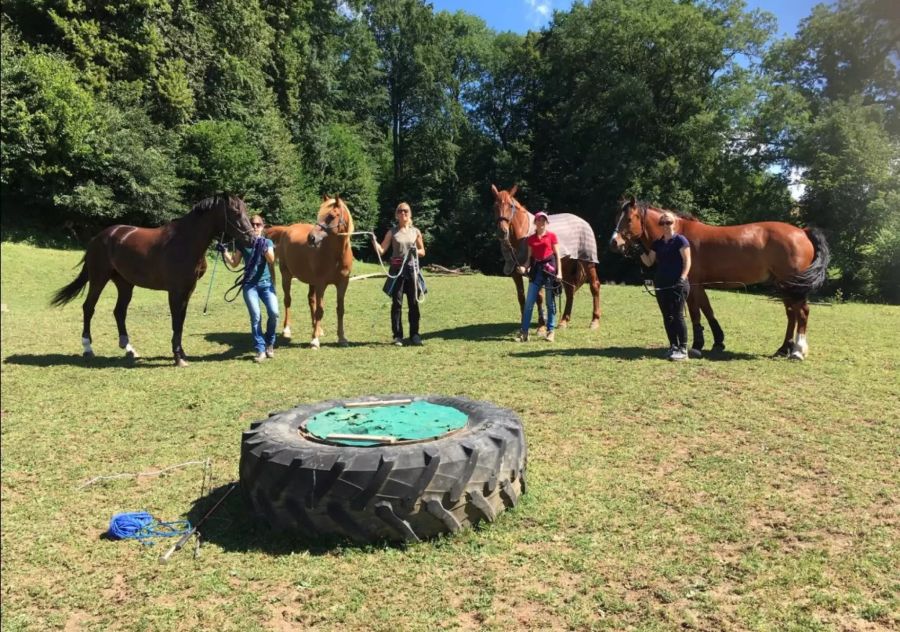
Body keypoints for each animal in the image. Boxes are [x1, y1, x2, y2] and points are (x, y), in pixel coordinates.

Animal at [51, 195, 255, 368]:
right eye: (235, 212)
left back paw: (129, 349)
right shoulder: (175, 291)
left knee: (119, 312)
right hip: (99, 278)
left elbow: (181, 322)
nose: (252, 239)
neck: (185, 241)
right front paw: (178, 357)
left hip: (125, 284)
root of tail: (99, 238)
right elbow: (176, 322)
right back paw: (88, 348)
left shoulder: (187, 290)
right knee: (88, 308)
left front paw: (181, 354)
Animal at [266, 195, 354, 348]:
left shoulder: (343, 284)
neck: (336, 255)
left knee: (311, 300)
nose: (311, 238)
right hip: (286, 276)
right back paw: (287, 329)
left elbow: (340, 310)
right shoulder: (321, 284)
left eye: (331, 216)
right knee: (287, 300)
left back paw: (318, 329)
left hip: (312, 282)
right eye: (318, 215)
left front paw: (342, 338)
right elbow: (320, 310)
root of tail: (286, 229)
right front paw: (315, 340)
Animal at [488, 183, 600, 328]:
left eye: (511, 206)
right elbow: (521, 297)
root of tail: (583, 222)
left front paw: (541, 326)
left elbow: (539, 297)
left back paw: (594, 321)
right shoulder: (515, 271)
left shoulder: (535, 271)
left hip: (588, 261)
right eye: (494, 206)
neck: (521, 235)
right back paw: (564, 321)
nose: (502, 232)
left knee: (594, 286)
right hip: (566, 265)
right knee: (570, 290)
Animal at [608, 198, 832, 362]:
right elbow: (708, 311)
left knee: (802, 312)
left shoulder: (692, 286)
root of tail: (802, 231)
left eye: (629, 219)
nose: (614, 243)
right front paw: (718, 342)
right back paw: (784, 349)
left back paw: (798, 351)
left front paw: (697, 345)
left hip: (794, 286)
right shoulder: (700, 287)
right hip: (783, 286)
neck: (678, 233)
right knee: (791, 314)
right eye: (617, 217)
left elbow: (696, 314)